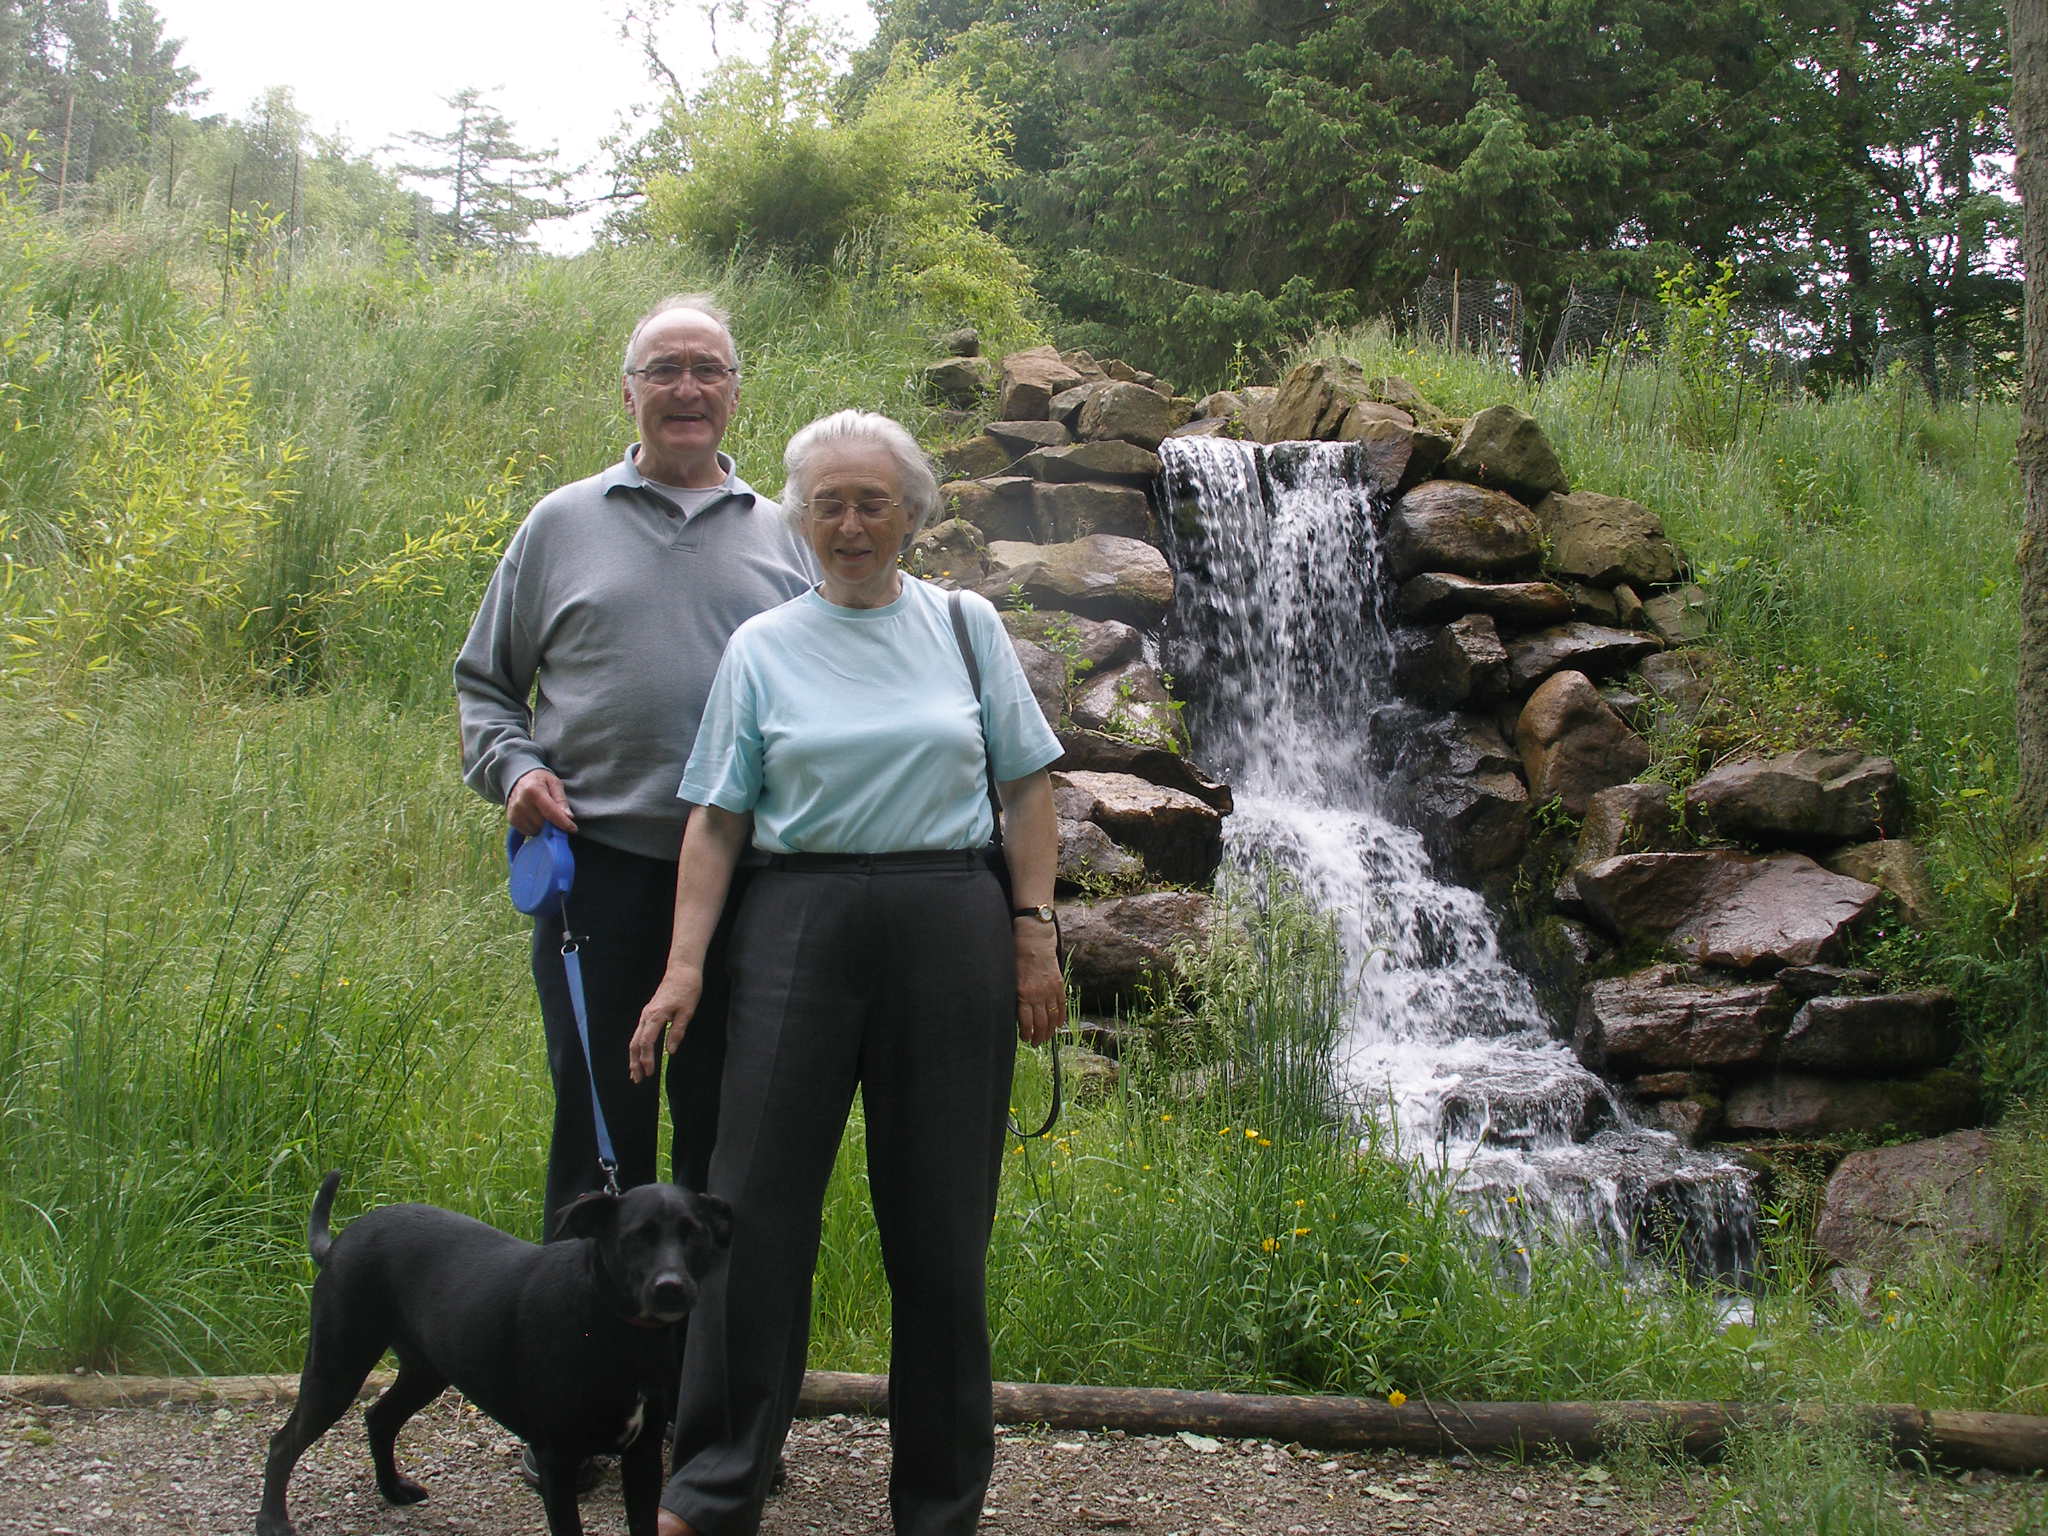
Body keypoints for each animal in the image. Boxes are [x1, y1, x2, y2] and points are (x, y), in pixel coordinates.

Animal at [254, 1179, 733, 1536]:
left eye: (694, 1233)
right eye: (636, 1238)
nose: (670, 1287)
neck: (614, 1329)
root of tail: (338, 1242)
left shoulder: (644, 1457)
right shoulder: (557, 1459)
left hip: (427, 1369)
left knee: (379, 1417)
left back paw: (392, 1489)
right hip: (337, 1366)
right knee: (282, 1443)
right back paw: (272, 1521)